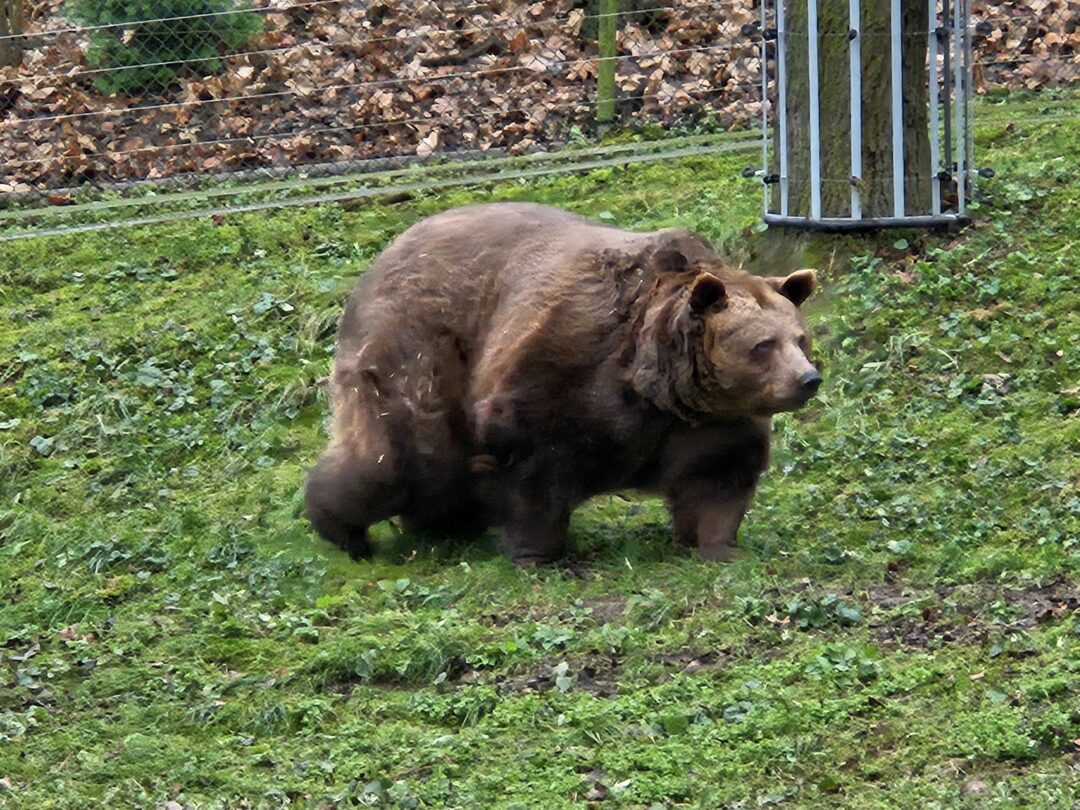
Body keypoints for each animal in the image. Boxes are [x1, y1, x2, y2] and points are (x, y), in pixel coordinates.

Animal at [304, 202, 820, 565]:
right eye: (763, 345)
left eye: (800, 337)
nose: (808, 379)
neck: (656, 386)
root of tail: (381, 259)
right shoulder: (567, 366)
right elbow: (535, 465)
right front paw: (538, 553)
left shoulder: (711, 421)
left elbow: (717, 478)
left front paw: (719, 545)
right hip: (421, 352)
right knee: (398, 458)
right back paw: (345, 531)